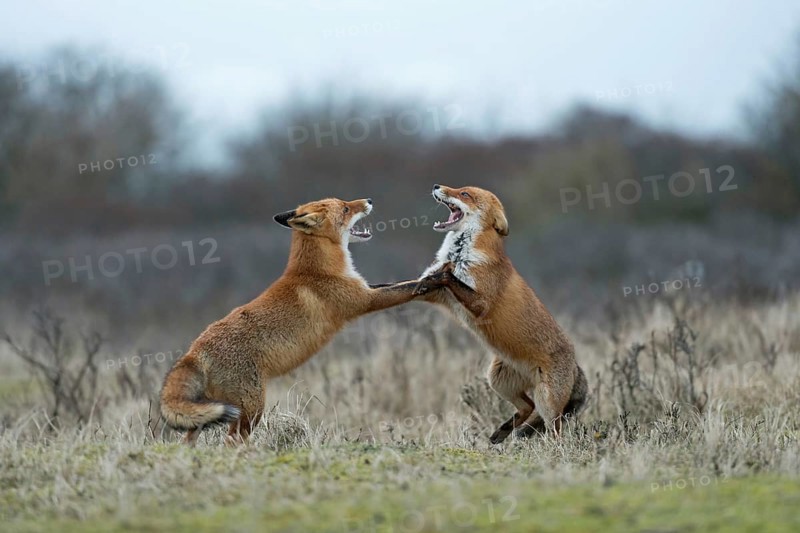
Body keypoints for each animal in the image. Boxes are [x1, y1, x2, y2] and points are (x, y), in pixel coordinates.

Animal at [160, 197, 449, 445]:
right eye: (346, 208)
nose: (368, 200)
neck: (317, 270)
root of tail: (194, 349)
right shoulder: (364, 300)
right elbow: (406, 288)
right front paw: (436, 280)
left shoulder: (365, 289)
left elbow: (400, 283)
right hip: (252, 407)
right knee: (232, 440)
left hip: (217, 409)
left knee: (190, 436)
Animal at [413, 184, 588, 443]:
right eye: (460, 189)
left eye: (464, 194)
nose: (436, 186)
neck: (460, 254)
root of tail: (575, 364)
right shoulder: (442, 298)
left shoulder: (481, 302)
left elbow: (449, 277)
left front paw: (440, 274)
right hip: (497, 380)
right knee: (527, 406)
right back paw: (502, 431)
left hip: (547, 401)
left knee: (554, 429)